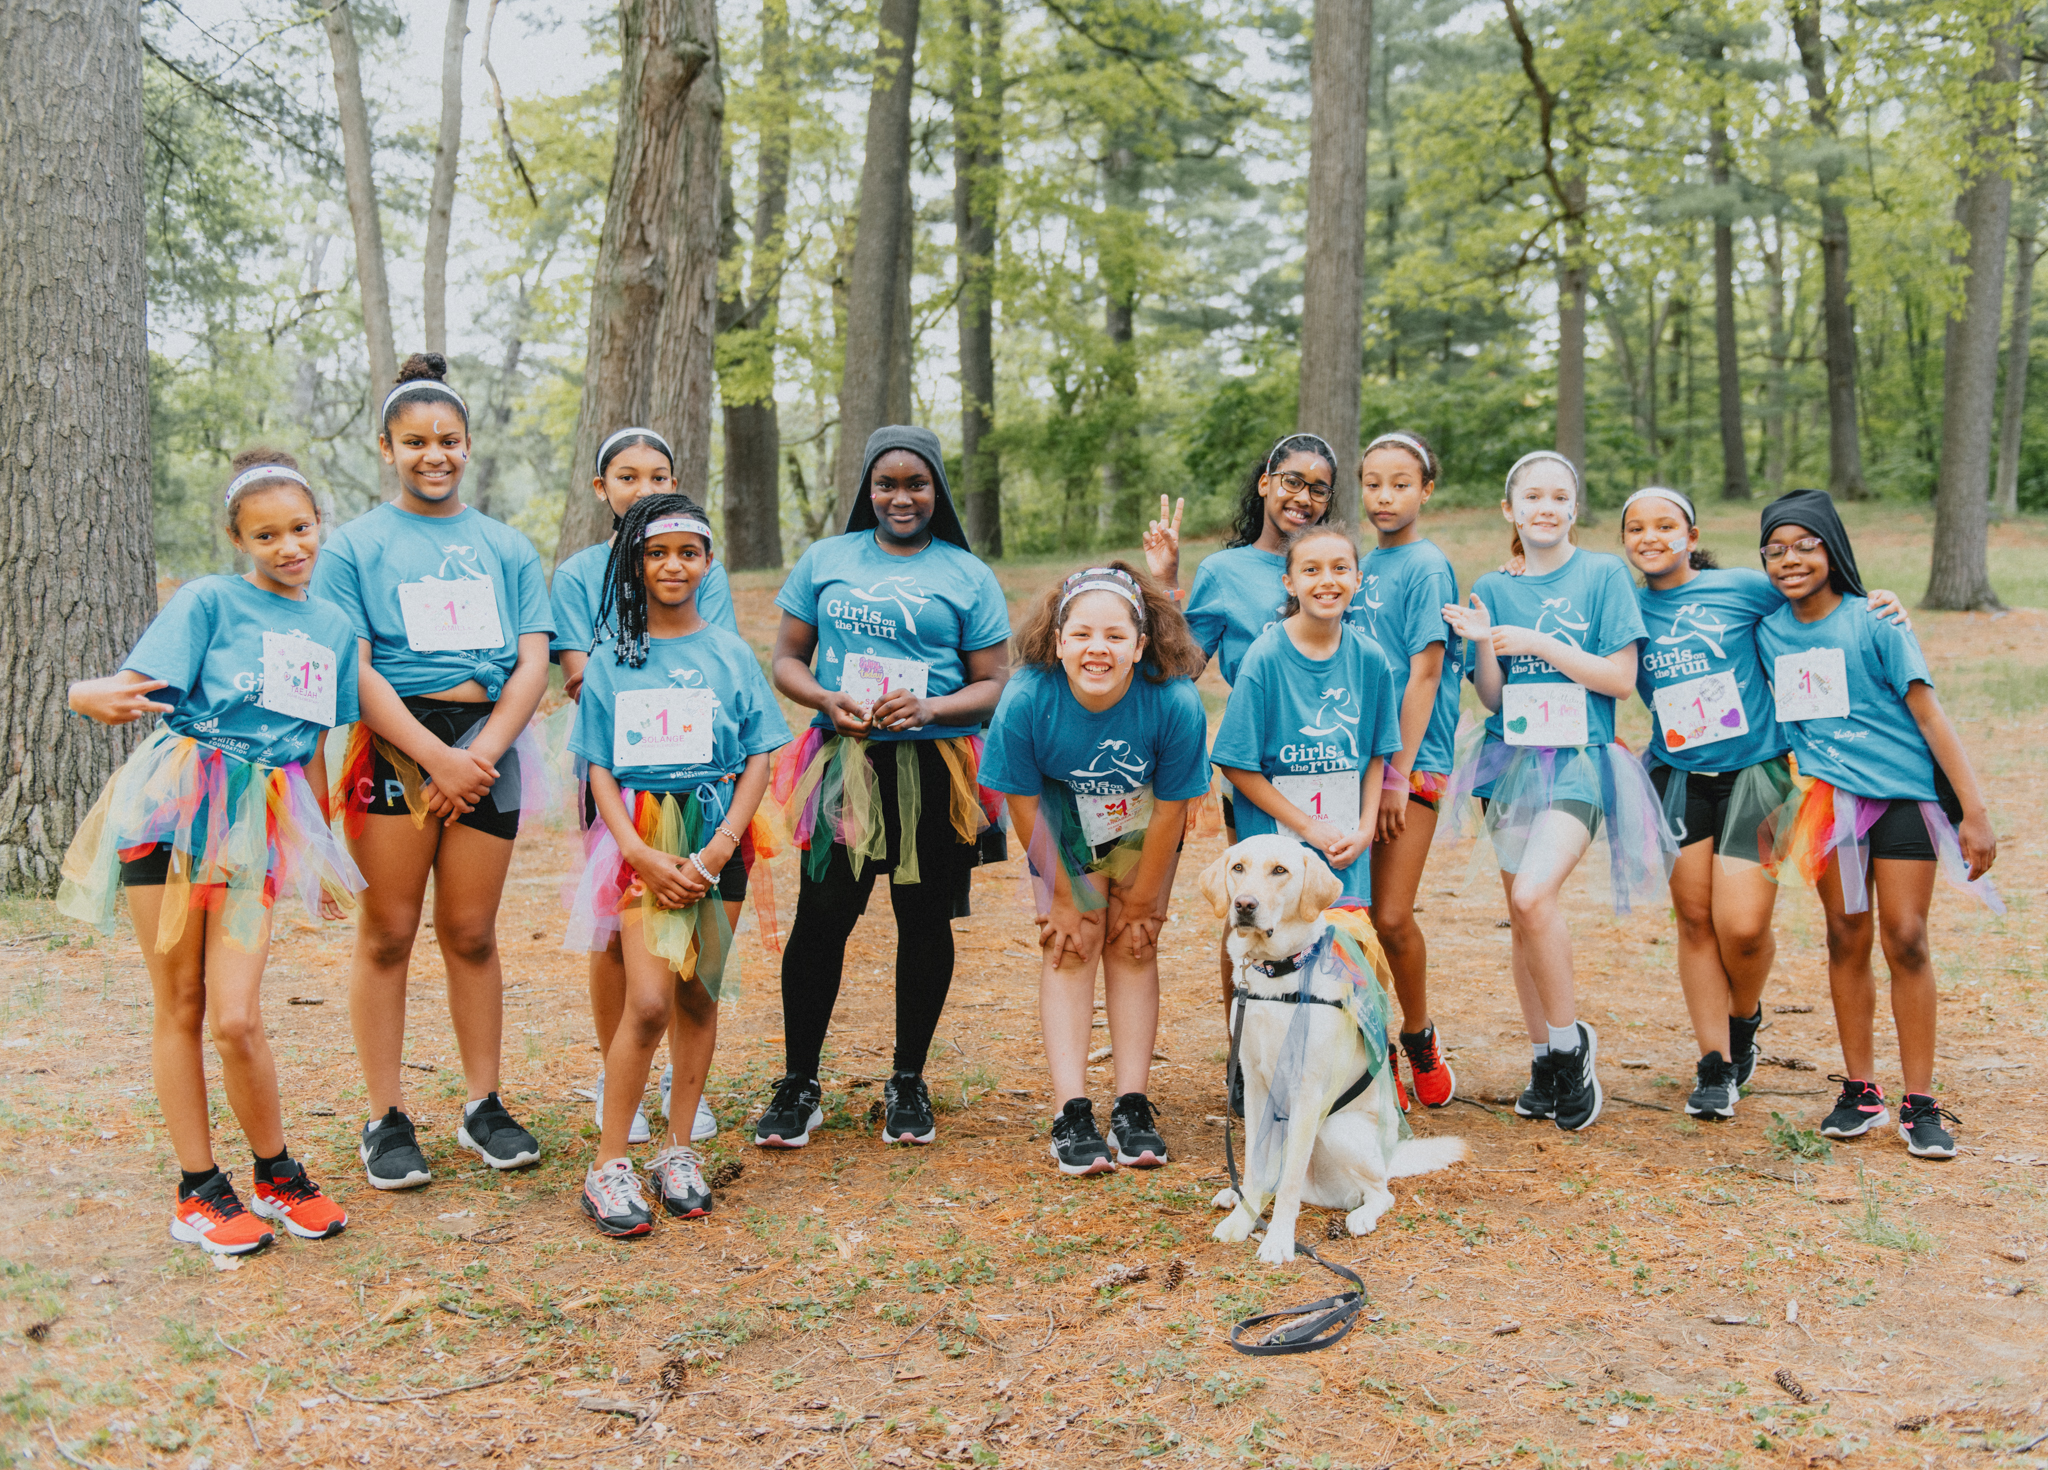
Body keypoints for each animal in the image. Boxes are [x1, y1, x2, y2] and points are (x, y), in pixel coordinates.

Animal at [1196, 839, 1466, 1269]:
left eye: (1280, 870)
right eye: (1238, 867)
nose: (1244, 904)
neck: (1278, 974)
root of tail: (1390, 1156)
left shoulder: (1308, 1092)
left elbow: (1289, 1183)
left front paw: (1278, 1242)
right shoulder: (1254, 1085)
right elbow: (1254, 1167)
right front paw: (1242, 1220)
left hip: (1337, 1129)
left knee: (1380, 1192)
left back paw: (1361, 1216)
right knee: (1271, 1175)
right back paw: (1234, 1197)